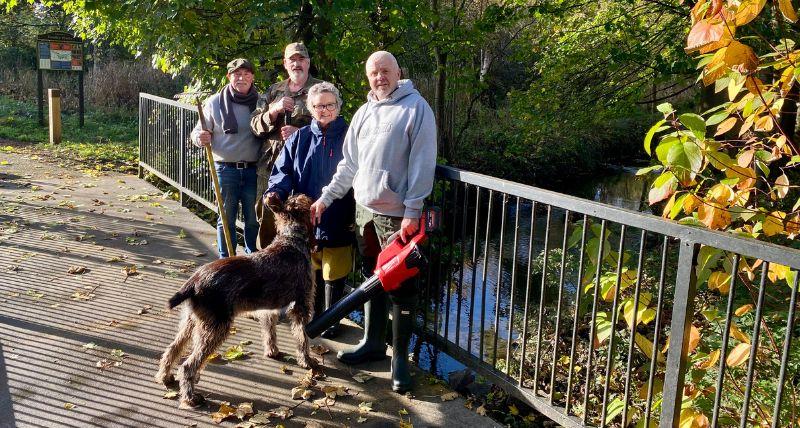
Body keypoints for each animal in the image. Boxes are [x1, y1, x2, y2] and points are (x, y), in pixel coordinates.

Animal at [155, 193, 318, 408]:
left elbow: (270, 331)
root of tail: (194, 280)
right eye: (303, 200)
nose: (312, 198)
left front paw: (272, 351)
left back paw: (165, 377)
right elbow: (302, 337)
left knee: (173, 349)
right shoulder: (301, 305)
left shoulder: (270, 308)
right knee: (188, 365)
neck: (291, 240)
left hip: (191, 322)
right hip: (216, 327)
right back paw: (190, 398)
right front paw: (306, 361)